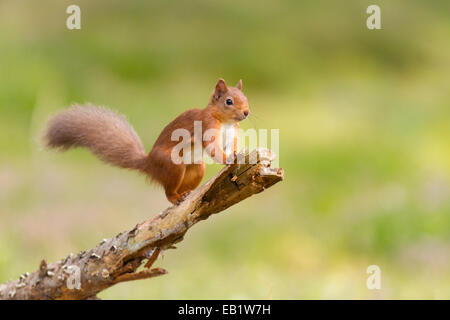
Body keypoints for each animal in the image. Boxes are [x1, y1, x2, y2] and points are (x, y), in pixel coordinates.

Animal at [44, 79, 250, 204]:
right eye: (229, 101)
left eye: (246, 98)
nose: (247, 112)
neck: (225, 122)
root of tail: (149, 163)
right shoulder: (206, 126)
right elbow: (212, 146)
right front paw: (227, 159)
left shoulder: (232, 134)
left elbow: (231, 146)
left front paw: (235, 154)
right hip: (172, 165)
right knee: (168, 191)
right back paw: (176, 197)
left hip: (197, 167)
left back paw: (188, 194)